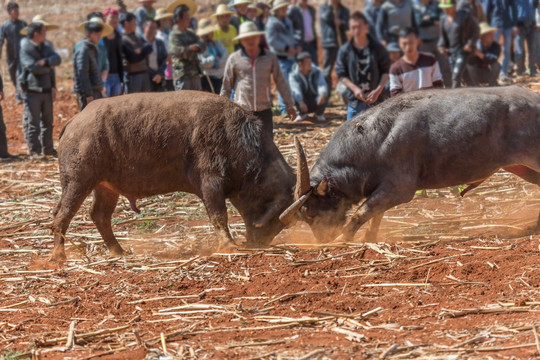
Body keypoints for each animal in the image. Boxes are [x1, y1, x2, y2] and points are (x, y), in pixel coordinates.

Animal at [49, 91, 296, 262]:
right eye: (276, 218)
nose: (259, 241)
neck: (234, 136)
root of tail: (74, 122)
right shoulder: (210, 184)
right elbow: (219, 216)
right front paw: (228, 245)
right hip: (78, 181)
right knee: (62, 215)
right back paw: (57, 256)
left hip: (105, 187)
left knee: (99, 215)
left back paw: (117, 250)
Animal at [280, 85, 540, 242]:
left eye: (310, 212)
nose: (322, 238)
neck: (375, 141)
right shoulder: (384, 189)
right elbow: (375, 214)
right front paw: (369, 239)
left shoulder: (400, 189)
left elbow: (360, 213)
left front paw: (343, 240)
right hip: (521, 167)